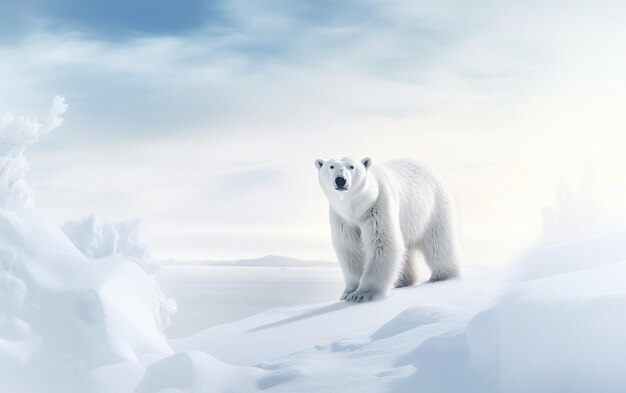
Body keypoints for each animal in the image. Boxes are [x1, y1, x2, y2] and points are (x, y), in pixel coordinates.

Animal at [314, 155, 460, 302]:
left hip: (433, 207)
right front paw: (348, 293)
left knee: (439, 243)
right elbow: (349, 248)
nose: (340, 180)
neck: (357, 208)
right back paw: (402, 282)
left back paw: (444, 276)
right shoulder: (342, 219)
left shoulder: (378, 206)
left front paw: (362, 294)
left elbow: (383, 242)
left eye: (352, 166)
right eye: (331, 166)